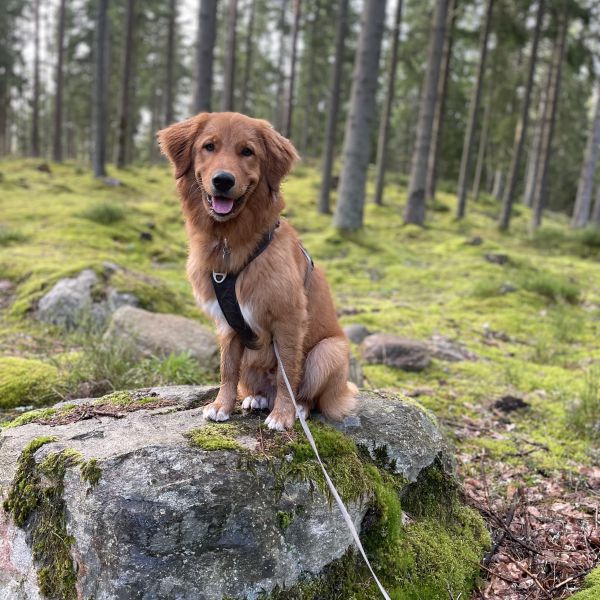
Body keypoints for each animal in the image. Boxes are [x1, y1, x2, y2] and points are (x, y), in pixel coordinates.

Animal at [157, 112, 358, 428]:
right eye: (209, 146)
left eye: (247, 152)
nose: (223, 180)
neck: (229, 242)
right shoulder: (227, 323)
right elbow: (227, 369)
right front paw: (222, 405)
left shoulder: (288, 319)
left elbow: (287, 372)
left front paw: (284, 415)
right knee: (256, 383)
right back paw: (257, 398)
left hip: (329, 352)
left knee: (307, 393)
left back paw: (299, 407)